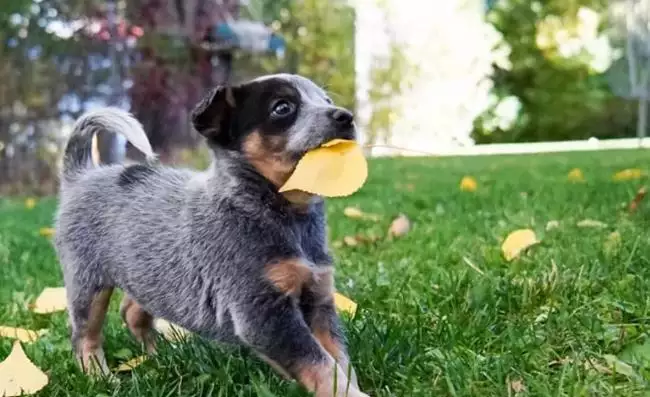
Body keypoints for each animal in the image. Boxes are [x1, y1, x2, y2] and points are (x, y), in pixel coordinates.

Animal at [53, 72, 368, 394]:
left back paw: (160, 356)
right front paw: (352, 394)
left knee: (131, 311)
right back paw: (99, 376)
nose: (346, 116)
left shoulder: (318, 298)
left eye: (326, 100)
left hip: (147, 275)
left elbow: (340, 360)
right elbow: (320, 364)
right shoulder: (262, 312)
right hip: (87, 282)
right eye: (282, 108)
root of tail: (82, 175)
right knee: (84, 335)